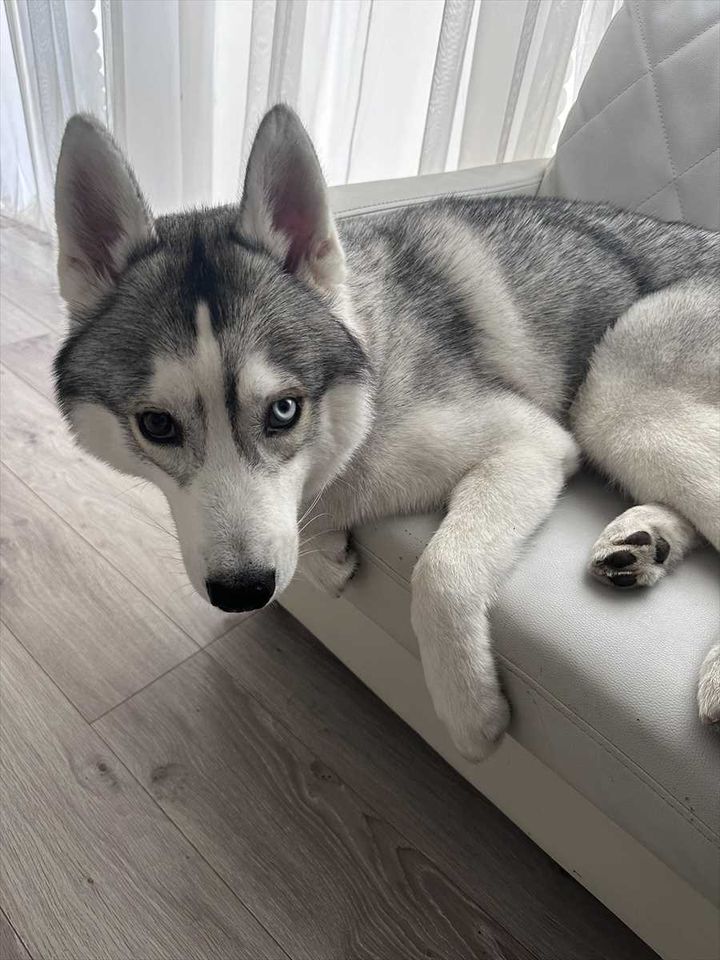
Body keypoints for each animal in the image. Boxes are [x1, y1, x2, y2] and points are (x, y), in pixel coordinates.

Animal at [53, 105, 719, 760]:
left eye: (284, 411)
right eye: (156, 425)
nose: (242, 592)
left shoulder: (531, 441)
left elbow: (439, 572)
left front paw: (470, 711)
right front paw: (325, 553)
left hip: (613, 392)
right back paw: (646, 541)